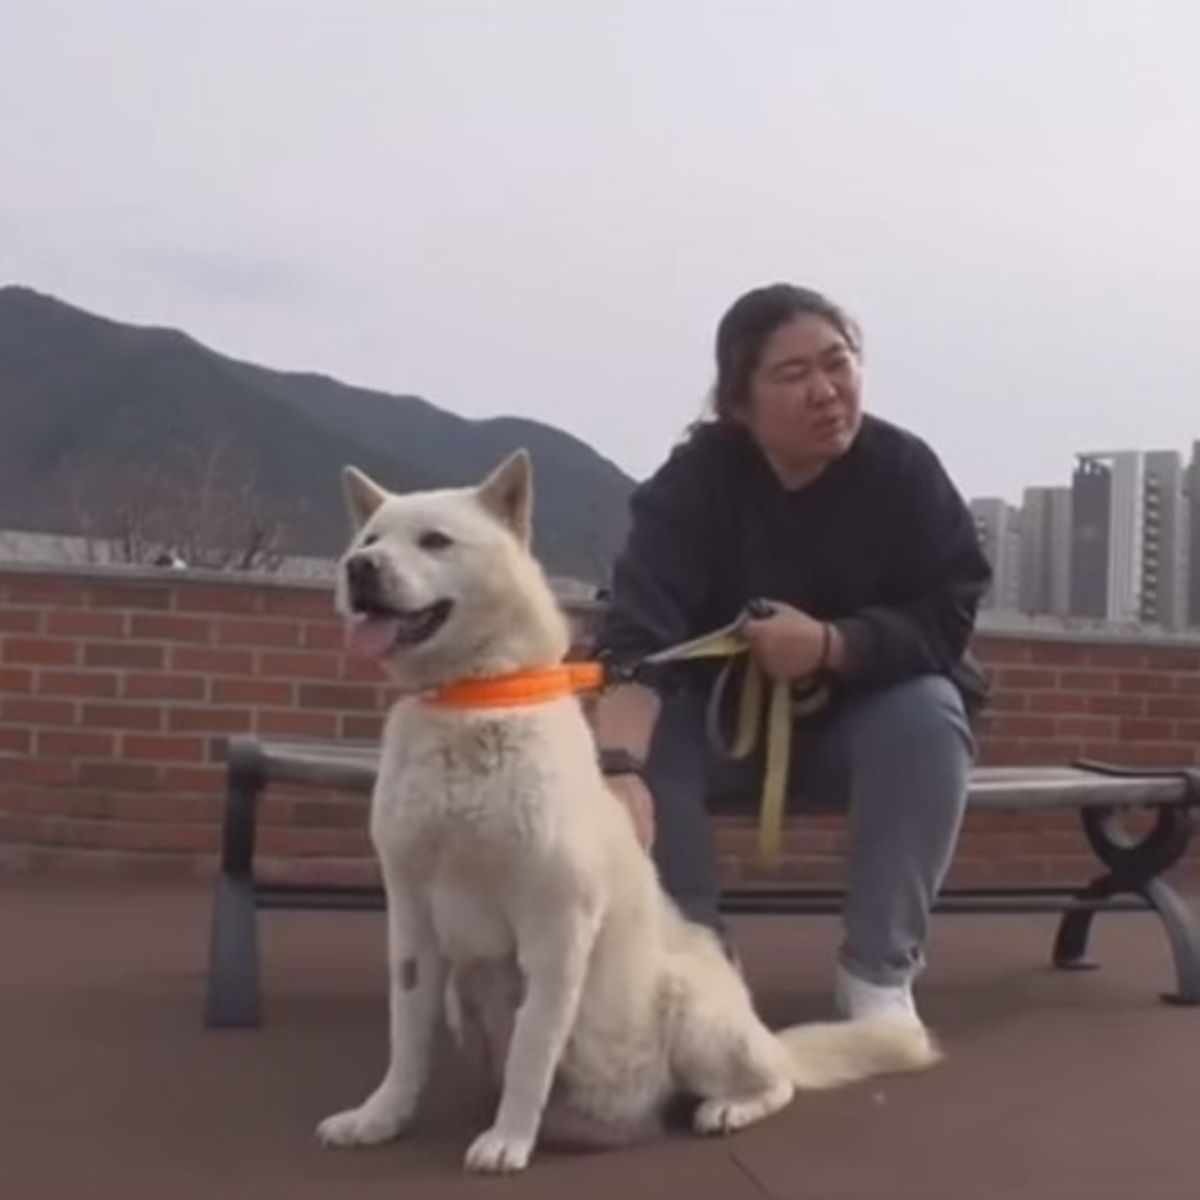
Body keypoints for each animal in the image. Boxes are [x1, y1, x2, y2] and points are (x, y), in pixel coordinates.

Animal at [312, 451, 936, 1171]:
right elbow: (407, 1041)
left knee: (775, 1082)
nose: (360, 570)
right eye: (369, 540)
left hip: (692, 1010)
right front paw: (380, 1118)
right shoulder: (413, 920)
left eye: (435, 541)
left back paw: (729, 1106)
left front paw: (509, 1139)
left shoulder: (557, 928)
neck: (474, 704)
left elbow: (530, 1052)